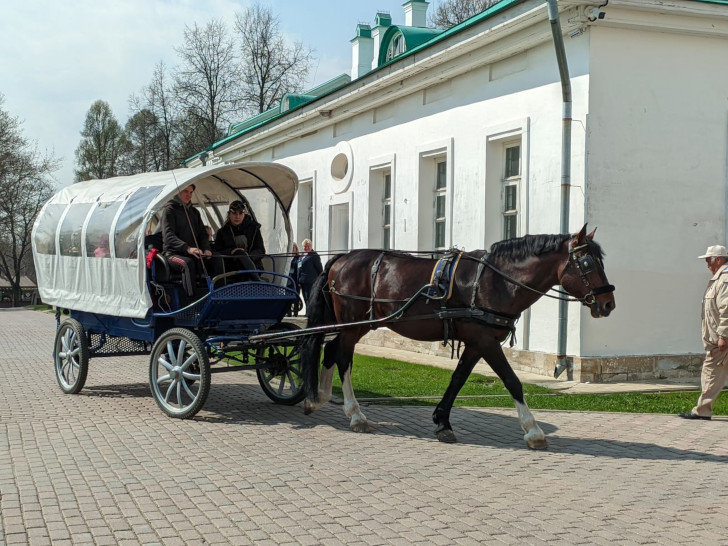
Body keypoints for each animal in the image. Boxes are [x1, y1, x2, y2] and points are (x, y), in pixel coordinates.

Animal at [302, 224, 616, 446]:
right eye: (587, 263)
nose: (608, 304)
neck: (496, 281)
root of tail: (342, 257)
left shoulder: (477, 343)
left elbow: (458, 379)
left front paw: (442, 422)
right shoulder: (486, 342)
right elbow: (512, 381)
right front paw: (533, 430)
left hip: (357, 325)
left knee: (331, 352)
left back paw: (319, 398)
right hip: (352, 324)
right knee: (343, 358)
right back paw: (354, 413)